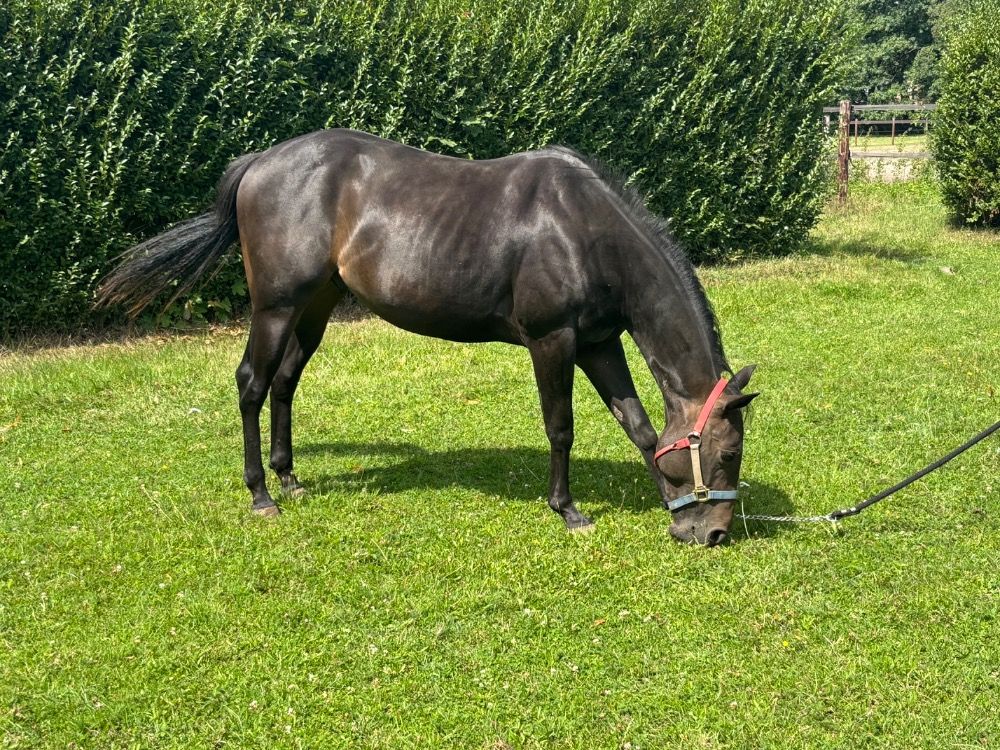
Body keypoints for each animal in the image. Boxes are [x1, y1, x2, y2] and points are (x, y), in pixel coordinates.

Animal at [98, 129, 758, 546]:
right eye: (728, 454)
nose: (713, 535)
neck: (583, 229)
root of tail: (259, 162)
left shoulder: (598, 342)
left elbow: (640, 426)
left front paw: (664, 497)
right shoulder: (553, 341)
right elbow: (561, 427)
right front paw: (569, 510)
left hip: (315, 308)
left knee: (284, 382)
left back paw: (290, 479)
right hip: (276, 307)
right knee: (252, 385)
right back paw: (262, 494)